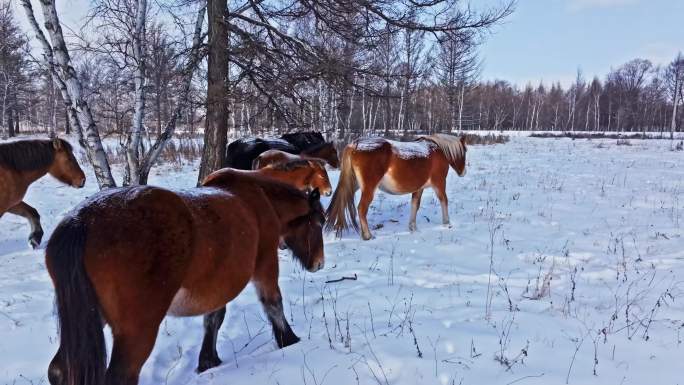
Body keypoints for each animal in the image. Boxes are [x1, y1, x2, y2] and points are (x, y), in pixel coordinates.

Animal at [44, 170, 326, 384]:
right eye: (319, 222)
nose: (319, 263)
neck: (259, 199)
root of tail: (82, 221)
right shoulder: (265, 265)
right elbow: (273, 304)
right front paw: (289, 340)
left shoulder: (219, 284)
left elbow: (214, 319)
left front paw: (208, 360)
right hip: (136, 331)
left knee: (59, 369)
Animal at [324, 134, 464, 238]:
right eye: (464, 151)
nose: (463, 172)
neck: (437, 151)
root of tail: (354, 145)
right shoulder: (439, 183)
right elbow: (444, 200)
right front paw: (447, 223)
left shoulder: (419, 188)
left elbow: (415, 205)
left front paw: (413, 227)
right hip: (368, 188)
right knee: (361, 209)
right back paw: (368, 235)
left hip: (353, 184)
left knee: (342, 203)